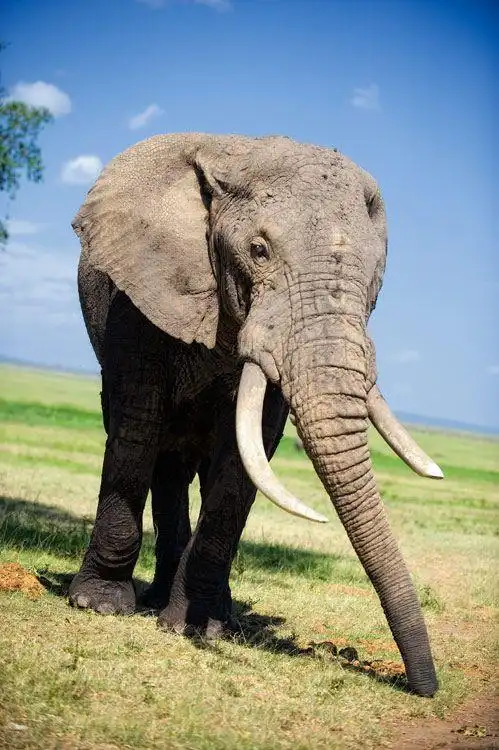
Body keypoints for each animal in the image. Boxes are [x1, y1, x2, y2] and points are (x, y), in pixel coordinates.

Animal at [69, 133, 443, 697]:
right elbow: (136, 424)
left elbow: (246, 456)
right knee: (157, 451)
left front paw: (197, 627)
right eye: (258, 250)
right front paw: (98, 605)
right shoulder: (137, 301)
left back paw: (204, 610)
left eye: (375, 277)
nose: (427, 687)